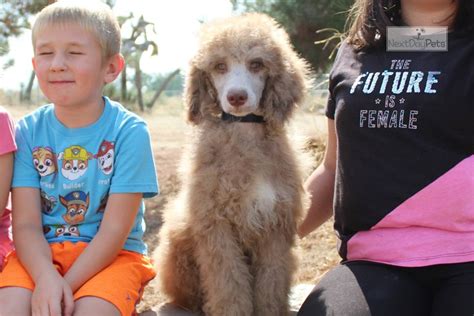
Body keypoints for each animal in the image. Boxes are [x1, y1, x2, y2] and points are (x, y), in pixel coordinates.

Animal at [155, 12, 312, 316]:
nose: (236, 97)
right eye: (219, 66)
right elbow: (228, 285)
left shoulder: (275, 226)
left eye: (257, 64)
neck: (244, 136)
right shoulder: (216, 228)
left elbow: (271, 284)